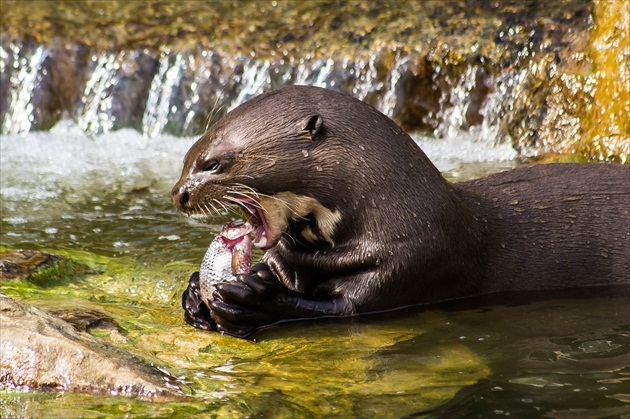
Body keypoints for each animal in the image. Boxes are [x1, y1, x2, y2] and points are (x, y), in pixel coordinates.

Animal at [170, 84, 628, 338]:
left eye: (214, 163)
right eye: (188, 154)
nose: (178, 194)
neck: (395, 217)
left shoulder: (414, 257)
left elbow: (342, 309)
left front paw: (256, 300)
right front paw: (196, 294)